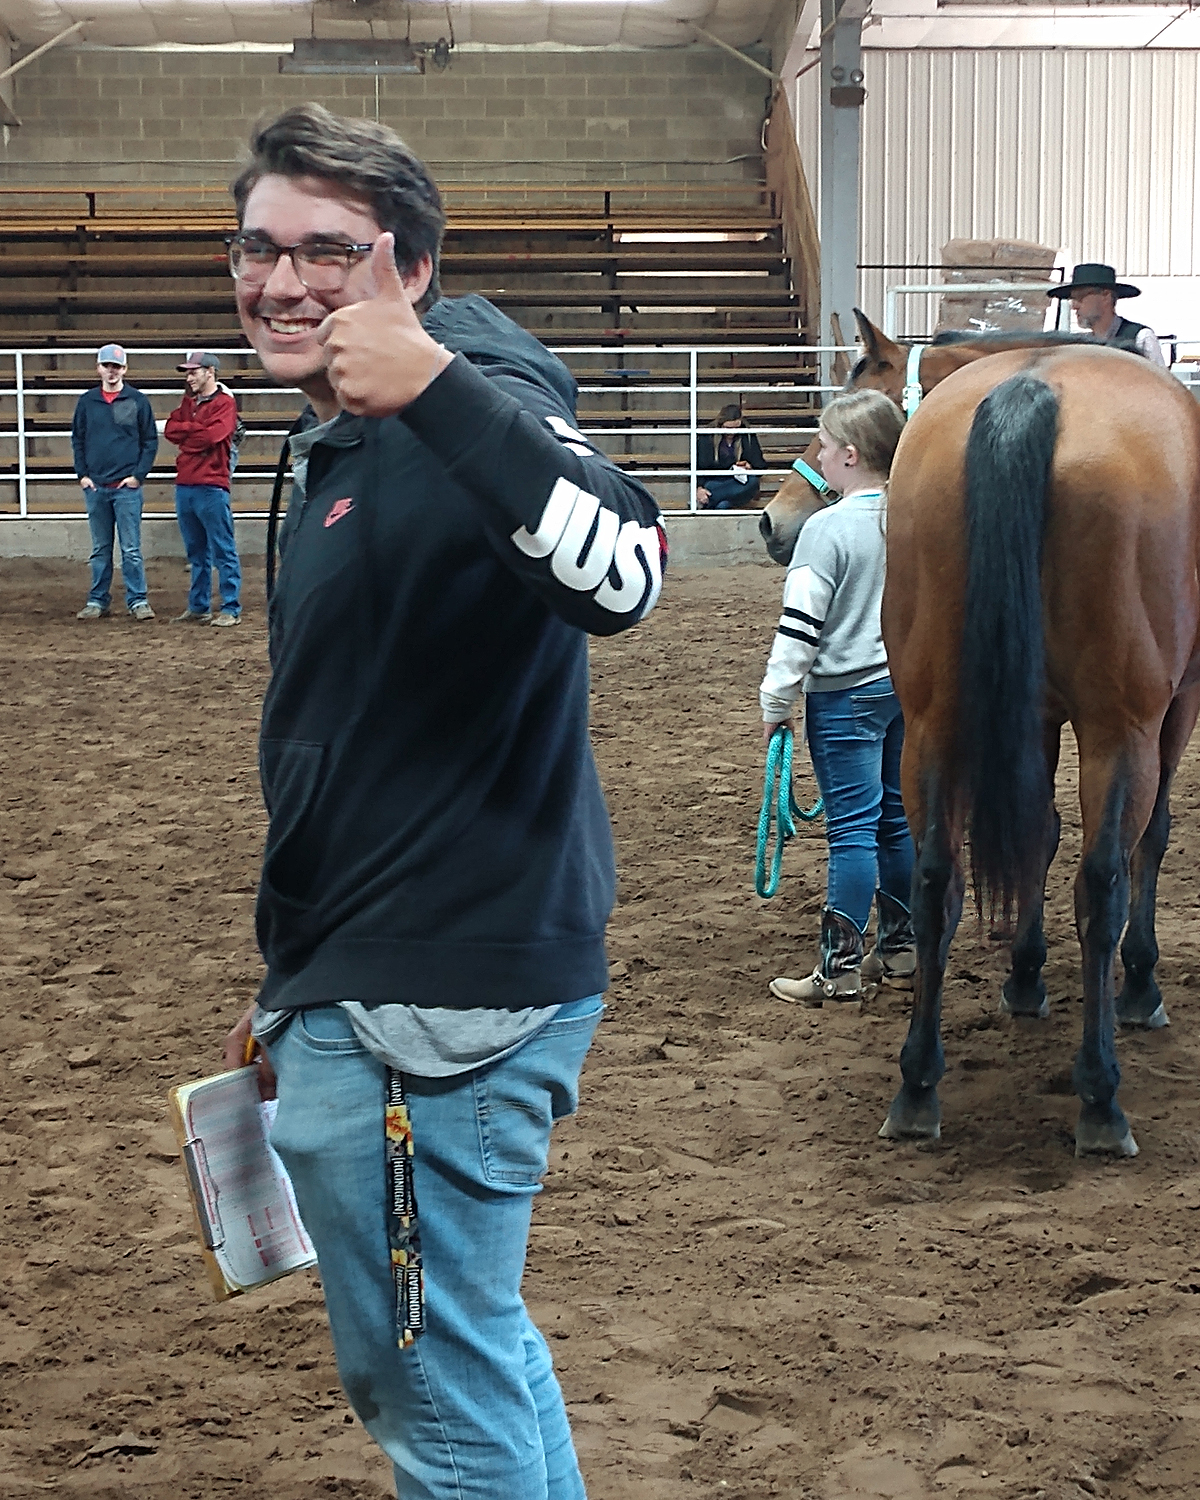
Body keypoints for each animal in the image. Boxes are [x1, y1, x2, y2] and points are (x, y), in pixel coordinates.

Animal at [882, 345, 1200, 1152]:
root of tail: (1032, 385)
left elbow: (1039, 834)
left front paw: (1024, 976)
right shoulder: (1177, 703)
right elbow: (1151, 841)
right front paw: (1140, 984)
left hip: (933, 722)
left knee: (936, 876)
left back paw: (918, 1086)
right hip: (1122, 731)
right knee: (1104, 880)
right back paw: (1101, 1097)